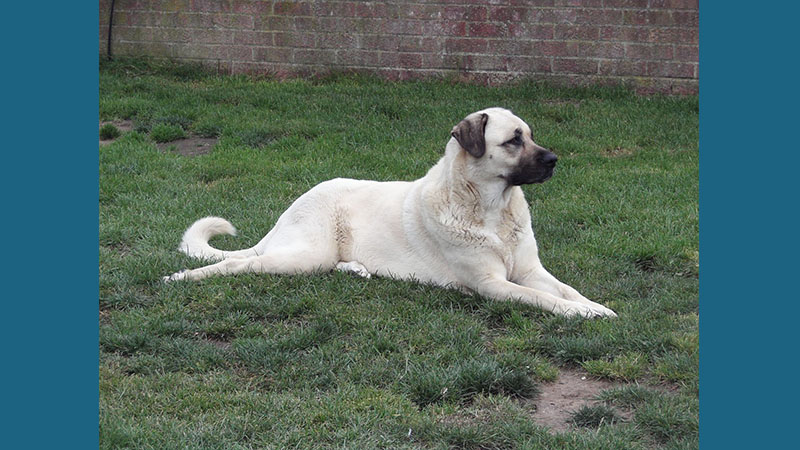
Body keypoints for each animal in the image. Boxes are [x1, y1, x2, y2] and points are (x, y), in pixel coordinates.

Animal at [164, 107, 620, 318]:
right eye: (513, 140)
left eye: (531, 135)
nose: (555, 160)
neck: (490, 208)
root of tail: (288, 212)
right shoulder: (493, 285)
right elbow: (544, 299)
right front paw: (581, 313)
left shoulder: (530, 270)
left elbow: (565, 289)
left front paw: (596, 306)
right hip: (304, 255)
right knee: (238, 266)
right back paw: (181, 277)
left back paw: (357, 269)